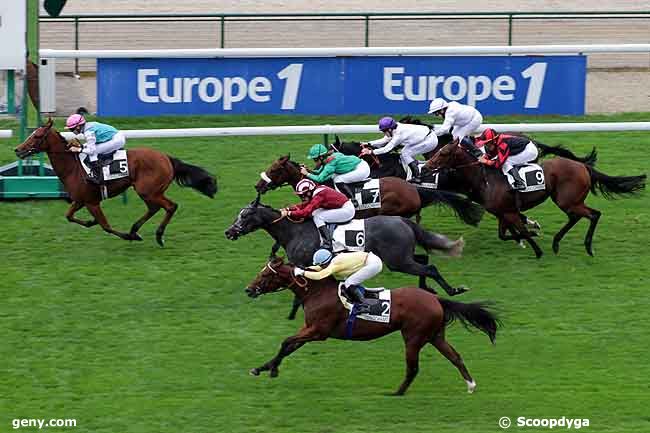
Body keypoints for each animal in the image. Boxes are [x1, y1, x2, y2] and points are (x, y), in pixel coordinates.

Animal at [14, 120, 218, 245]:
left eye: (37, 136)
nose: (18, 149)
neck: (73, 168)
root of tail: (166, 158)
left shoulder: (92, 202)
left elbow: (105, 226)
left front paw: (126, 236)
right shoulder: (80, 200)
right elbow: (69, 216)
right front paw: (90, 222)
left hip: (148, 190)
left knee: (170, 206)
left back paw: (156, 235)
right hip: (147, 191)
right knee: (154, 208)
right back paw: (135, 230)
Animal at [243, 256, 496, 394]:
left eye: (264, 275)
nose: (249, 289)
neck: (316, 292)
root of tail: (435, 299)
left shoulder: (318, 331)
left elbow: (286, 342)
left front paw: (271, 369)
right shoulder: (310, 330)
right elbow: (288, 346)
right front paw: (264, 368)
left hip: (414, 337)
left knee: (413, 367)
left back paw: (396, 393)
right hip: (435, 336)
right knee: (455, 357)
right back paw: (471, 385)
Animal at [426, 141, 644, 256]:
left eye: (444, 152)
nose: (427, 166)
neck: (485, 179)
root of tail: (583, 166)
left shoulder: (509, 212)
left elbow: (520, 231)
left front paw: (536, 247)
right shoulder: (503, 213)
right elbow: (505, 234)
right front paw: (528, 237)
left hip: (568, 200)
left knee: (593, 215)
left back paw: (587, 247)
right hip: (566, 200)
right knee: (576, 217)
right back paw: (556, 243)